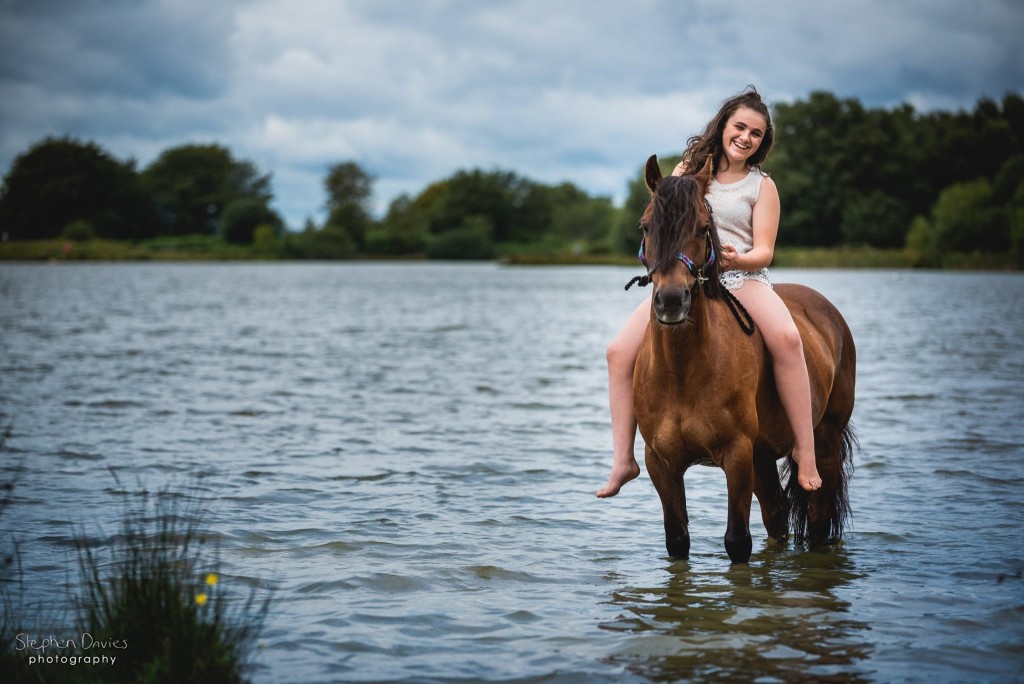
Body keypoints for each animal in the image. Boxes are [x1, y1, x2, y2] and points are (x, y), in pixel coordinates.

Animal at [630, 157, 856, 565]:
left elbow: (738, 541)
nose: (671, 301)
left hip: (823, 443)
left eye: (704, 227)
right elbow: (677, 540)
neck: (682, 371)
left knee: (817, 520)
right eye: (646, 225)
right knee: (777, 514)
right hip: (762, 457)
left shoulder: (736, 455)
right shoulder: (661, 462)